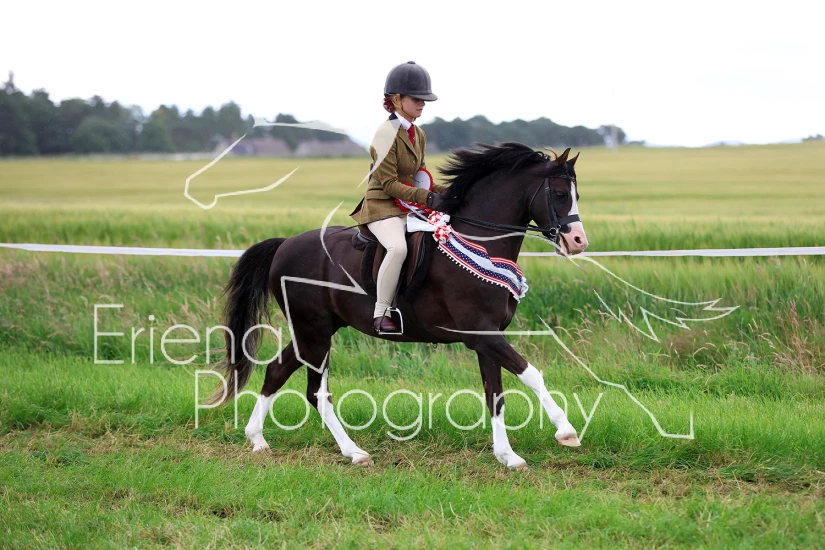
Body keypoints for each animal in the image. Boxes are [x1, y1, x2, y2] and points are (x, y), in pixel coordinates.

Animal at [209, 142, 589, 469]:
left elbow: (495, 394)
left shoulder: (488, 336)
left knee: (278, 371)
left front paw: (508, 456)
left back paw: (259, 439)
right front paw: (566, 431)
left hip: (314, 330)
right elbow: (531, 373)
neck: (480, 245)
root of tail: (285, 244)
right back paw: (354, 452)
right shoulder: (480, 334)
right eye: (559, 194)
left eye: (576, 195)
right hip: (314, 332)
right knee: (316, 391)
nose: (578, 241)